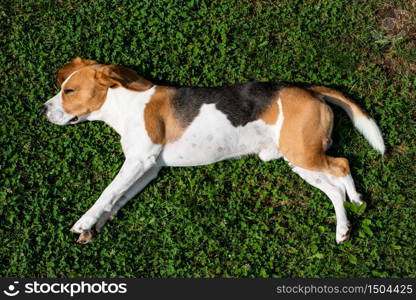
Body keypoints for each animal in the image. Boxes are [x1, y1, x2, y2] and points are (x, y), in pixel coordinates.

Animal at [44, 58, 386, 244]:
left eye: (69, 91)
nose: (42, 109)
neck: (125, 103)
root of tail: (308, 88)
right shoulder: (148, 169)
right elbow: (117, 198)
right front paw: (96, 226)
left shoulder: (139, 162)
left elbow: (107, 193)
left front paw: (85, 221)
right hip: (299, 160)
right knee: (334, 188)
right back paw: (346, 222)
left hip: (303, 154)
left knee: (342, 165)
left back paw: (353, 204)